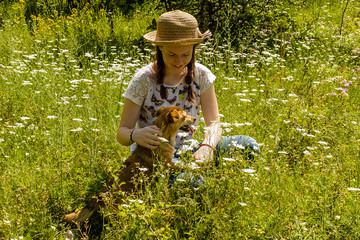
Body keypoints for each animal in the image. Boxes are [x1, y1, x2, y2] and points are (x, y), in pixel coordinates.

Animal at [63, 106, 195, 222]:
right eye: (185, 116)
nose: (194, 118)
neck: (162, 137)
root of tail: (99, 198)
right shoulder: (169, 165)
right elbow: (185, 166)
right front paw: (198, 167)